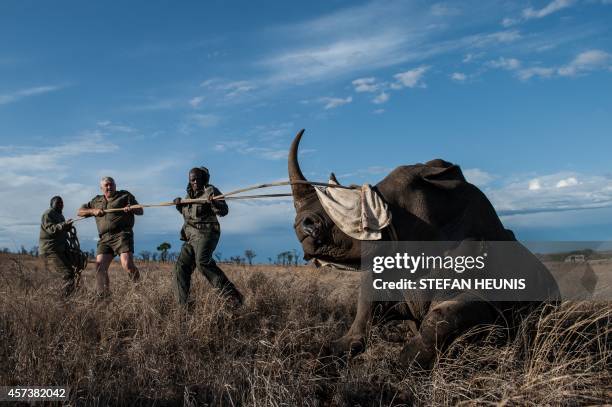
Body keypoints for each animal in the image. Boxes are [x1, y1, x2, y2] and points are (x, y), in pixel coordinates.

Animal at [288, 129, 560, 368]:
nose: (303, 226)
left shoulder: (490, 297)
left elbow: (441, 318)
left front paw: (403, 366)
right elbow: (361, 321)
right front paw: (320, 357)